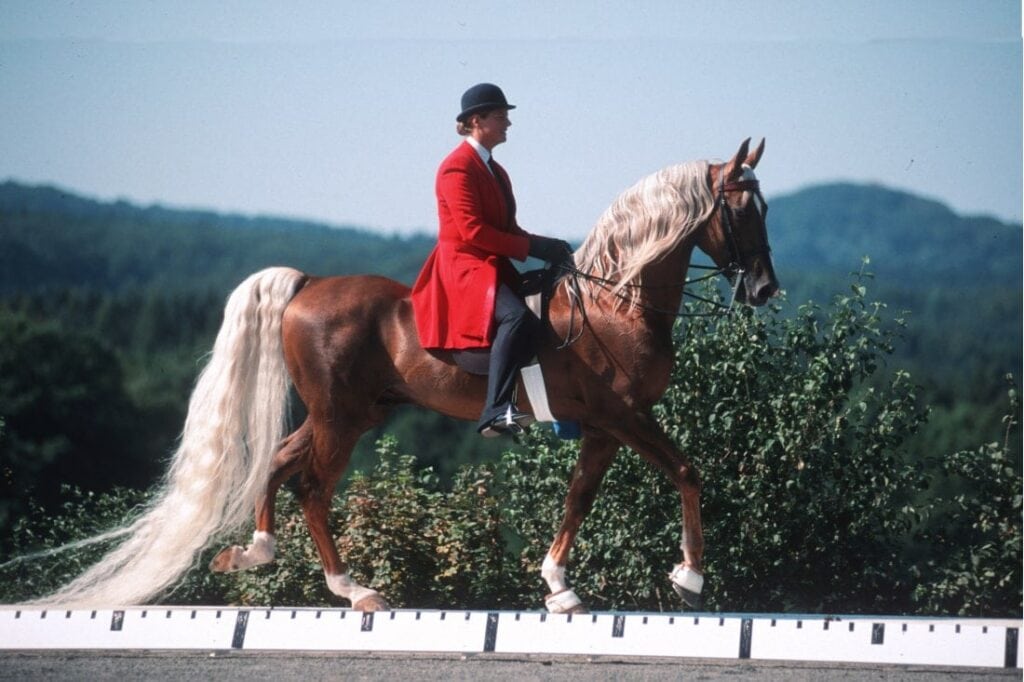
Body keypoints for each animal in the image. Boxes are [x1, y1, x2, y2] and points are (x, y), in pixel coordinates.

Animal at [36, 138, 778, 613]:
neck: (616, 302)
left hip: (353, 412)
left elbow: (578, 499)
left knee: (278, 462)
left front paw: (559, 586)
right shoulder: (623, 417)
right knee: (312, 488)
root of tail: (310, 283)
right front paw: (689, 577)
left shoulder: (600, 428)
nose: (765, 289)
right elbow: (687, 471)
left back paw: (256, 552)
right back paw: (353, 588)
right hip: (340, 418)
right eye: (743, 210)